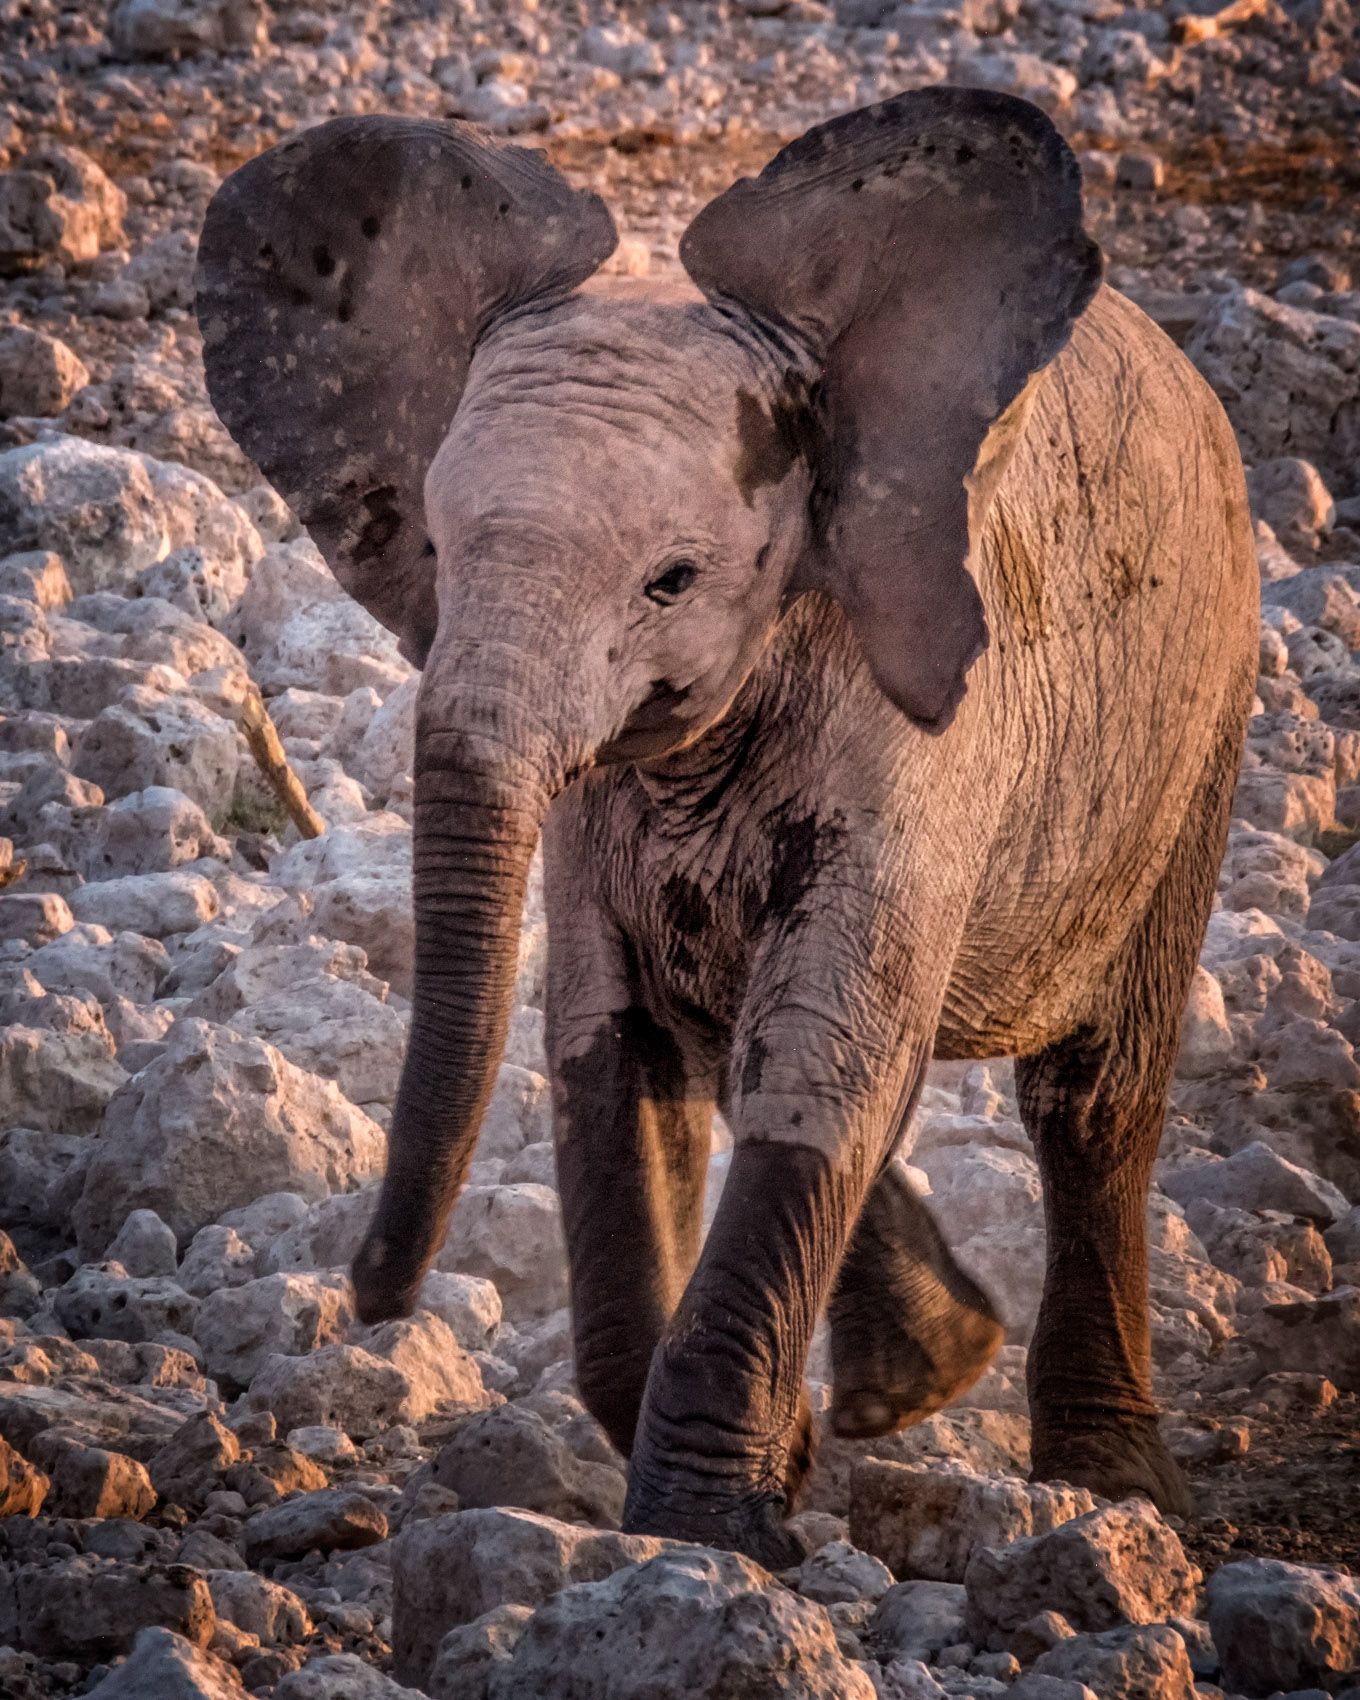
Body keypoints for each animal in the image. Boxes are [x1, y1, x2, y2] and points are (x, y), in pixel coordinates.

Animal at [196, 86, 1258, 1557]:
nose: (370, 1299)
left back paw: (1106, 1486)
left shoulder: (920, 717)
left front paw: (711, 1533)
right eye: (436, 548)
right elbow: (611, 1043)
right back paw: (919, 1378)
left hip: (1200, 704)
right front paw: (758, 1479)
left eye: (671, 581)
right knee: (764, 1041)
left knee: (1089, 1099)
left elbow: (819, 1053)